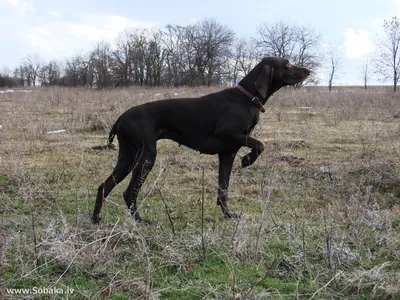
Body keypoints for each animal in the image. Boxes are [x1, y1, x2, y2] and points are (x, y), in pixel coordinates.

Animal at [92, 57, 310, 224]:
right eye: (287, 64)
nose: (309, 70)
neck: (247, 98)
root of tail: (121, 118)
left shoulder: (227, 154)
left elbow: (223, 190)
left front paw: (229, 215)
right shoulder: (227, 133)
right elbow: (260, 144)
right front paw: (248, 159)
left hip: (127, 158)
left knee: (104, 186)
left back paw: (95, 219)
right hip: (146, 156)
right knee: (129, 192)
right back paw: (140, 221)